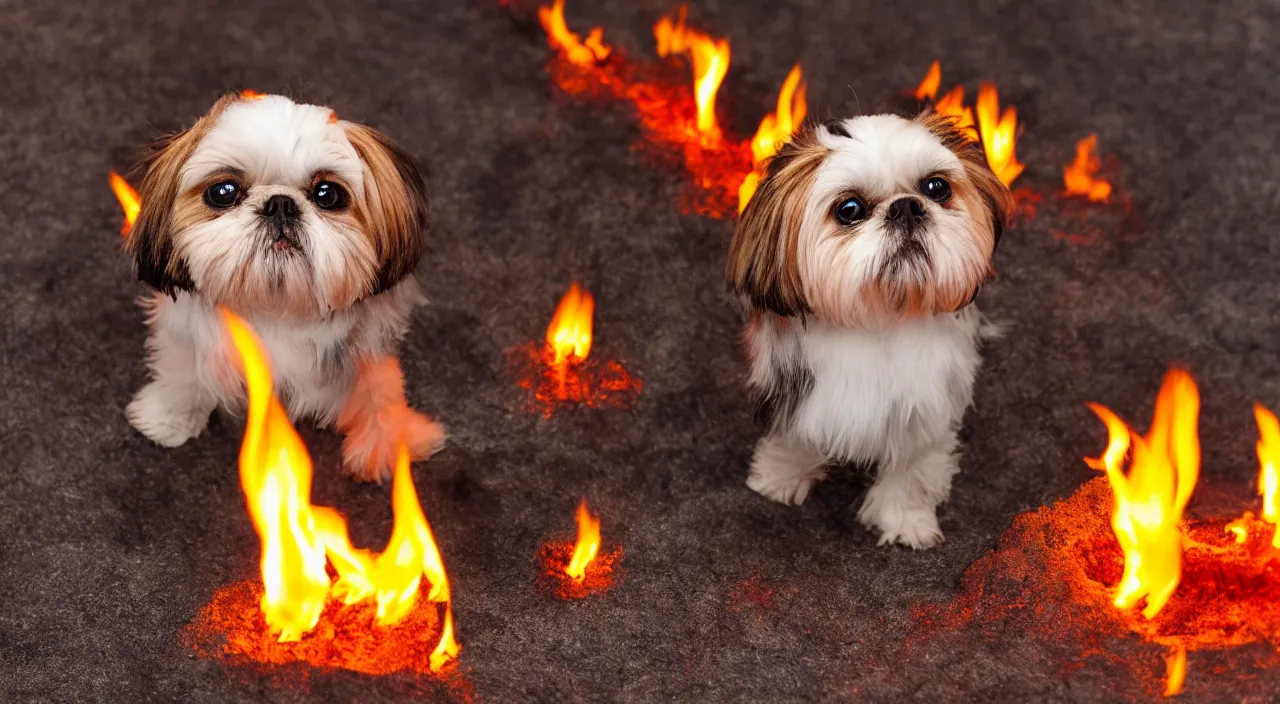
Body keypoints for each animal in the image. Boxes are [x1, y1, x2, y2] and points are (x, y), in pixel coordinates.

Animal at [123, 90, 445, 483]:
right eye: (223, 191)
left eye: (327, 193)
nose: (280, 203)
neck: (277, 309)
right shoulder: (184, 331)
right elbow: (182, 366)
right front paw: (169, 415)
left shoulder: (369, 342)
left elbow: (379, 389)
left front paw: (385, 440)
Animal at [732, 112, 1008, 552]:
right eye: (849, 209)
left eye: (937, 188)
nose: (906, 207)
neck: (878, 321)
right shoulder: (794, 387)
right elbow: (793, 437)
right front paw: (779, 477)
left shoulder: (921, 409)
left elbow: (911, 468)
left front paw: (906, 521)